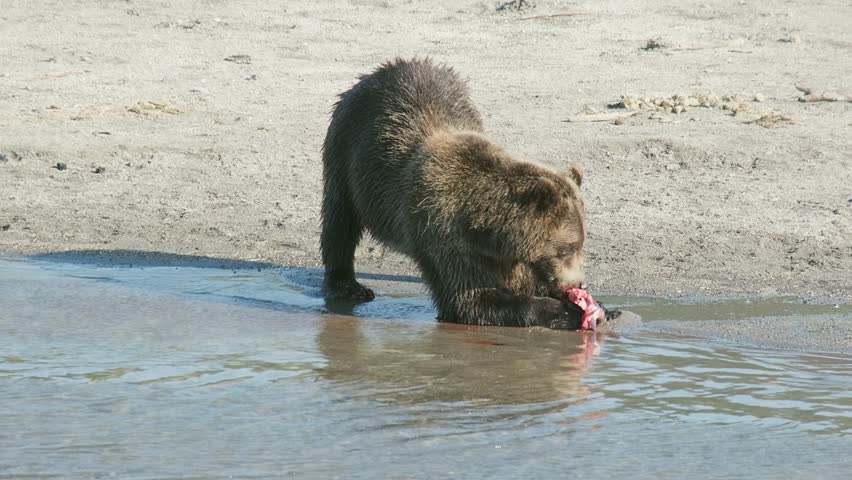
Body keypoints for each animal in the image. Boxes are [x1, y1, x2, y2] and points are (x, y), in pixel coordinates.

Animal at [320, 57, 588, 329]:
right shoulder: (444, 234)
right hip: (347, 152)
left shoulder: (504, 254)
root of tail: (385, 69)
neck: (486, 229)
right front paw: (565, 311)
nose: (578, 282)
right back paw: (347, 285)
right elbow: (470, 300)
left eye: (580, 244)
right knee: (340, 220)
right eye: (566, 248)